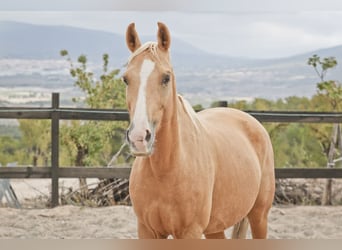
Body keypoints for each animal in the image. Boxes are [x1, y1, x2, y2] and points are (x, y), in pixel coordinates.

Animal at [123, 22, 276, 239]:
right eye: (126, 79)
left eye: (166, 78)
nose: (138, 138)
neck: (166, 169)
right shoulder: (147, 230)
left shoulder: (190, 232)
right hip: (216, 227)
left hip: (259, 216)